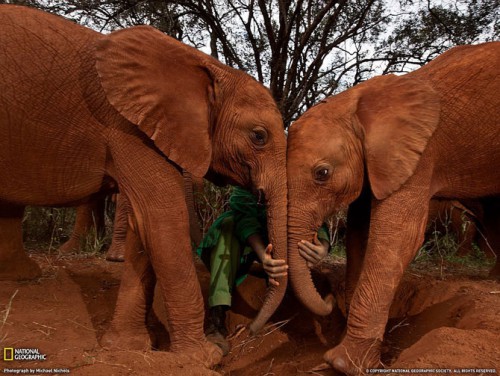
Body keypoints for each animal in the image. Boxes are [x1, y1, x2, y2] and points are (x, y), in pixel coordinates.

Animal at [0, 5, 288, 368]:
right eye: (258, 136)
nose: (248, 333)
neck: (204, 65)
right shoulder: (125, 126)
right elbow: (161, 215)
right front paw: (204, 356)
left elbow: (145, 225)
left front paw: (127, 347)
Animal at [286, 41, 500, 376]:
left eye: (322, 173)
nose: (330, 299)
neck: (358, 101)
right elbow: (360, 231)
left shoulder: (421, 154)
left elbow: (397, 235)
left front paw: (344, 364)